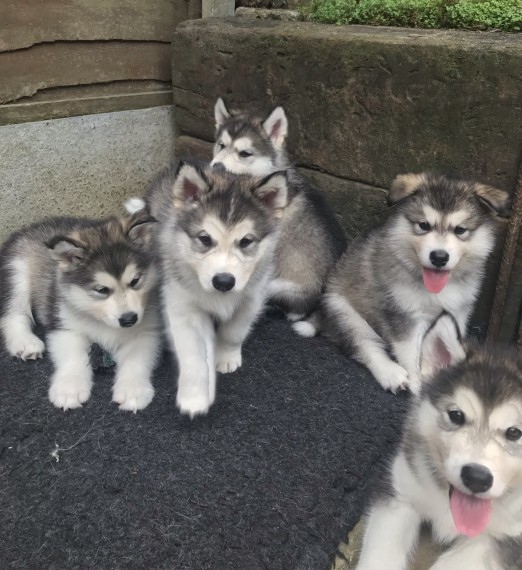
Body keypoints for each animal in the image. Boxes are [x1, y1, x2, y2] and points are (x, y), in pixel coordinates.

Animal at [0, 209, 158, 408]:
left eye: (135, 281)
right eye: (102, 290)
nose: (129, 319)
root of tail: (28, 228)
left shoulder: (146, 330)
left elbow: (136, 359)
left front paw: (133, 390)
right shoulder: (64, 325)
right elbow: (73, 357)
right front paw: (69, 389)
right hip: (16, 271)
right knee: (13, 313)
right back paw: (24, 342)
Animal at [144, 158, 286, 414]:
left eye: (246, 241)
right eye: (205, 239)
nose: (223, 282)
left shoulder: (252, 298)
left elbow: (234, 331)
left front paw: (226, 357)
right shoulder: (183, 306)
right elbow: (193, 356)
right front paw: (194, 397)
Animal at [318, 173, 506, 392]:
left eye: (460, 230)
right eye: (423, 225)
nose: (439, 257)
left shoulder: (458, 310)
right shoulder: (403, 314)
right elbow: (412, 353)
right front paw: (420, 384)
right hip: (342, 311)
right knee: (364, 343)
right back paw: (390, 373)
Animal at [356, 310, 520, 568]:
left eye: (514, 432)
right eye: (456, 415)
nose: (477, 478)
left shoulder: (504, 540)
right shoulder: (400, 494)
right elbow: (379, 556)